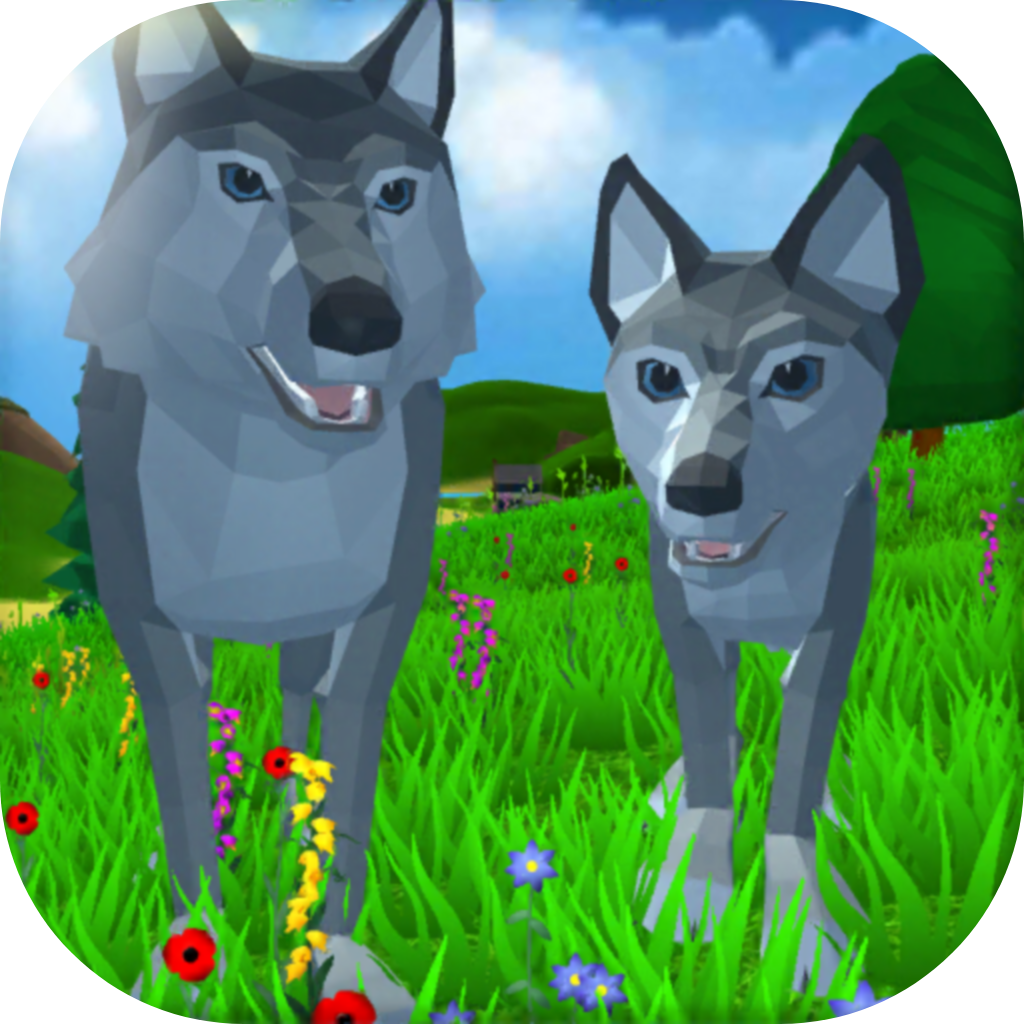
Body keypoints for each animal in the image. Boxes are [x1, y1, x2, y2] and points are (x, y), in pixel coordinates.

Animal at [64, 0, 481, 994]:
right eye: (243, 182)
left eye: (395, 194)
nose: (364, 321)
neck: (276, 479)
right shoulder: (153, 623)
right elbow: (183, 794)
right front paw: (196, 957)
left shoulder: (376, 618)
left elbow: (349, 793)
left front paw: (337, 955)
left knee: (298, 721)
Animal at [590, 136, 924, 996]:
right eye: (658, 377)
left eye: (796, 375)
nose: (698, 487)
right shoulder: (687, 627)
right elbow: (713, 757)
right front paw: (689, 899)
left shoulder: (833, 627)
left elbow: (796, 785)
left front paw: (804, 931)